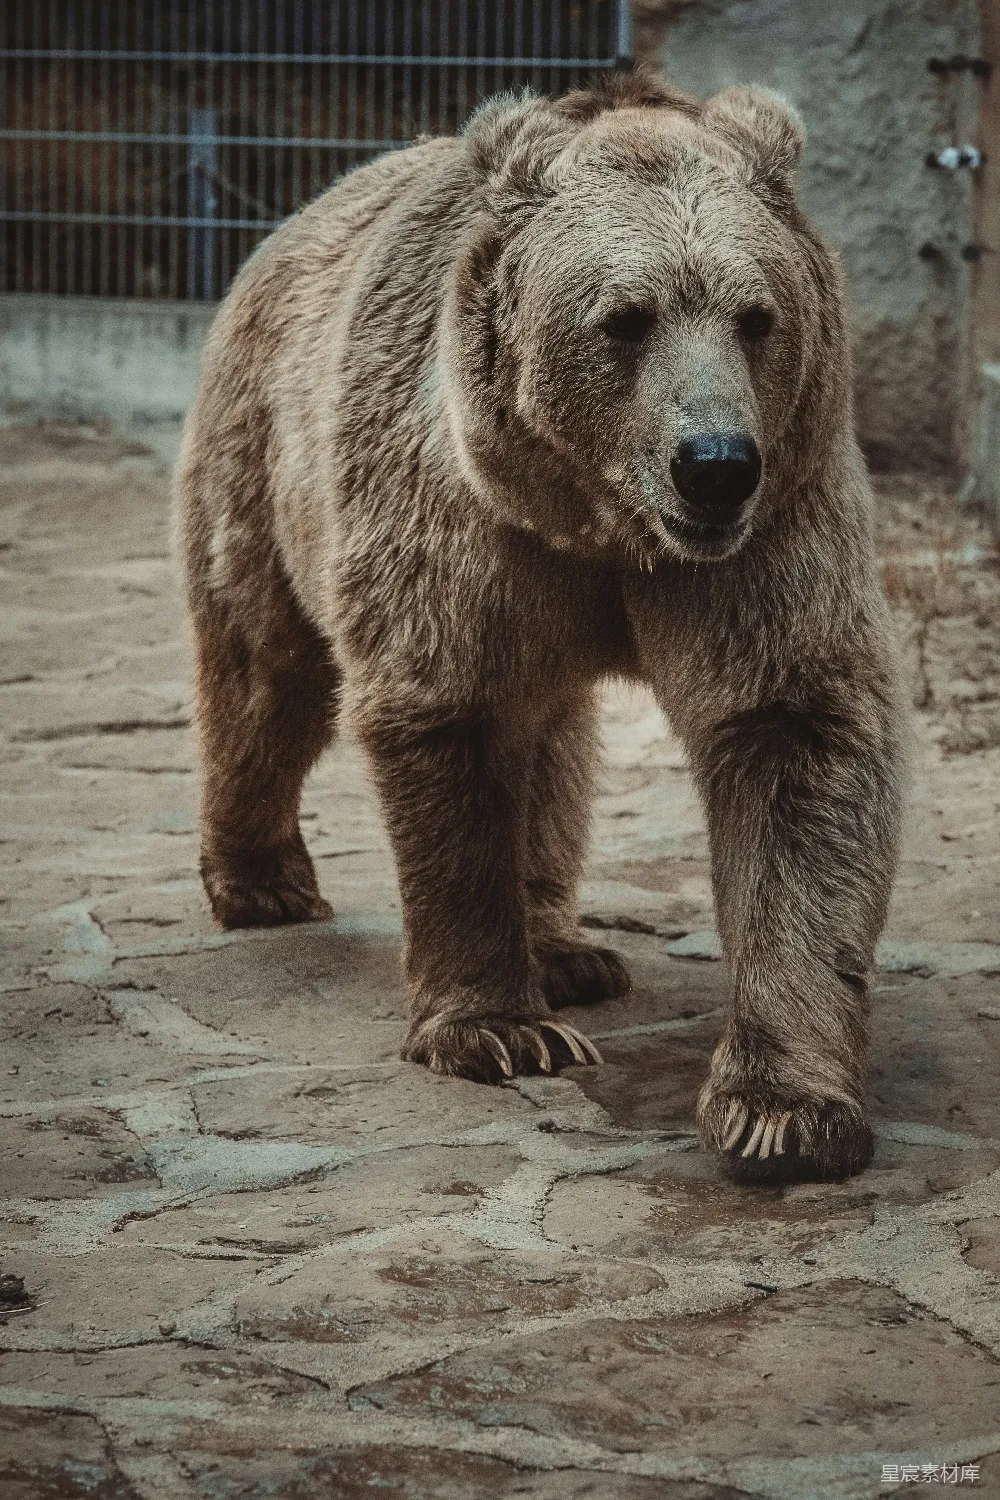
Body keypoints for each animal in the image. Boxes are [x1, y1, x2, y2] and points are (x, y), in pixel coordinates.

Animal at [177, 69, 904, 1185]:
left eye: (756, 316)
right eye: (627, 319)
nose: (714, 462)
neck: (601, 523)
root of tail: (285, 226)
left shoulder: (773, 534)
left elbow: (795, 741)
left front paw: (783, 1109)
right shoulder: (464, 529)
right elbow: (455, 724)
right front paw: (495, 1029)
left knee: (556, 739)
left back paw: (567, 951)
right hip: (263, 456)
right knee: (267, 675)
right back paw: (263, 882)